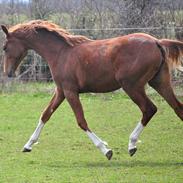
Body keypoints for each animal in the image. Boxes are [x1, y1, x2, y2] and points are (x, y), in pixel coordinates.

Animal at [1, 20, 183, 160]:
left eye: (4, 47)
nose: (7, 72)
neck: (61, 53)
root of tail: (156, 42)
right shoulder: (61, 91)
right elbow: (46, 114)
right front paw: (28, 145)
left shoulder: (70, 92)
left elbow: (81, 121)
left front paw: (106, 150)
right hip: (159, 82)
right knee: (177, 108)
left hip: (132, 86)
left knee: (149, 109)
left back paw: (132, 144)